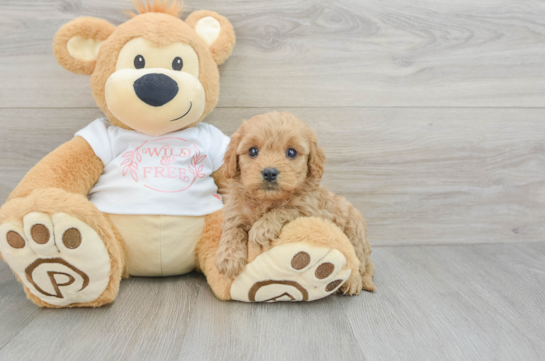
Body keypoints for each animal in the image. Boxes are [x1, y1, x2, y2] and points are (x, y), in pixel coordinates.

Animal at [216, 112, 374, 292]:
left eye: (291, 152)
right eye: (253, 151)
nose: (269, 173)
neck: (266, 200)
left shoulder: (310, 209)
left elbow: (286, 209)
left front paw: (262, 229)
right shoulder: (236, 211)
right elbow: (232, 230)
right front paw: (228, 258)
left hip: (355, 233)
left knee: (360, 261)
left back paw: (354, 282)